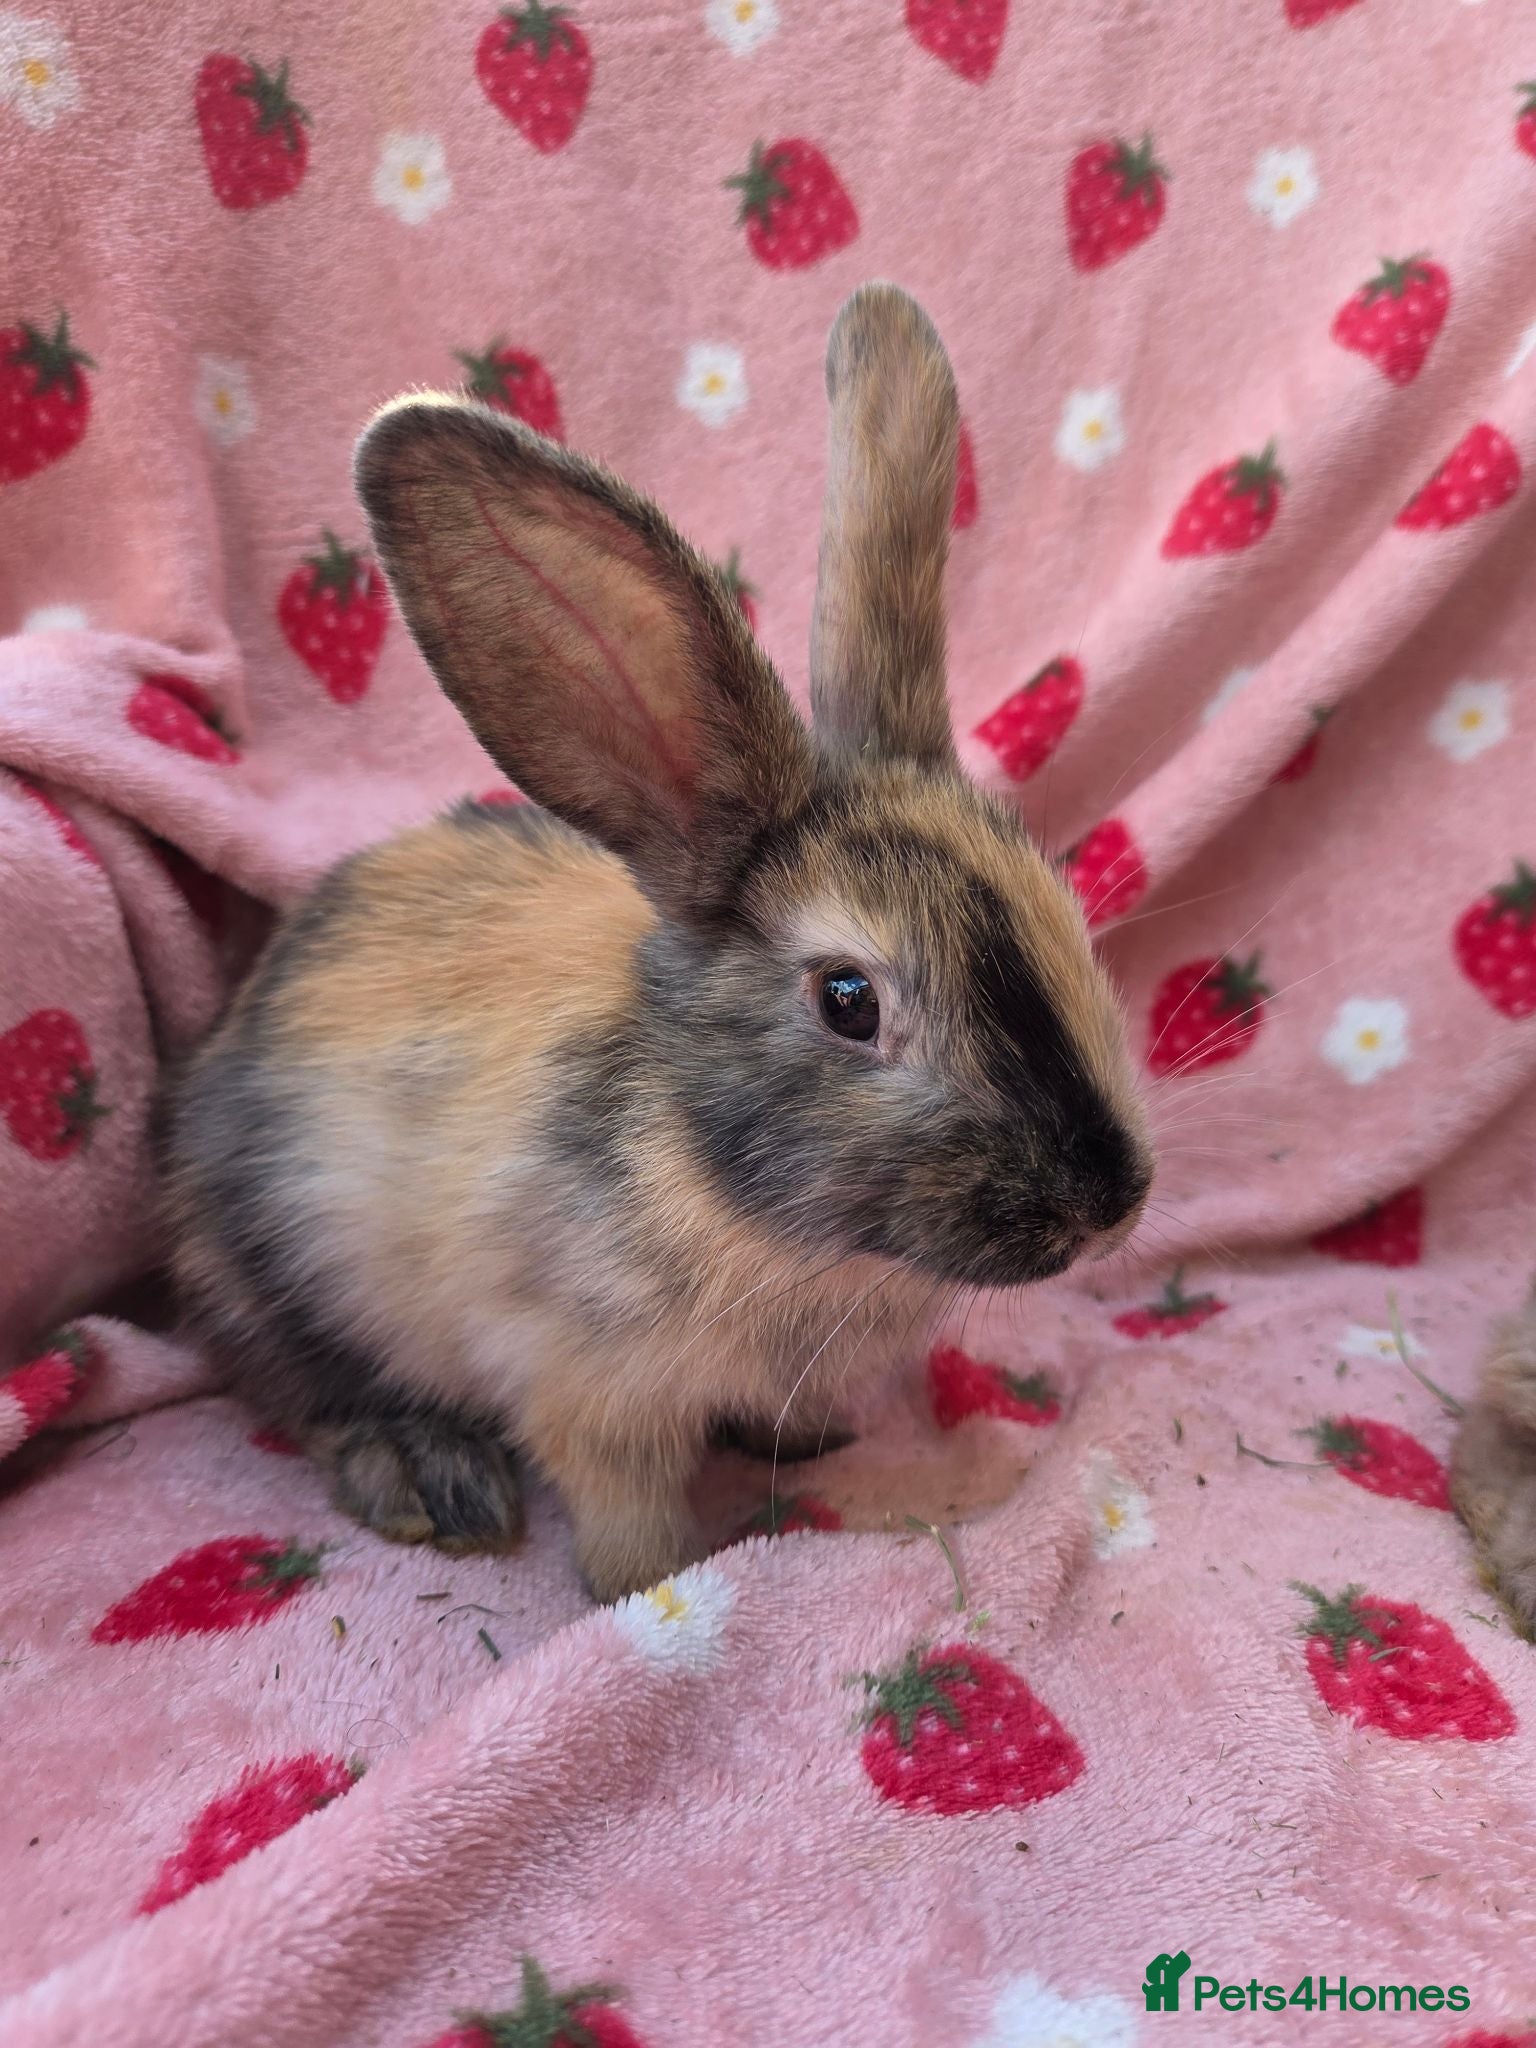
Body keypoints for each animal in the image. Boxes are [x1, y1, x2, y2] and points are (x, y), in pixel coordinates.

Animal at [158, 283, 1155, 1602]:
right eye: (848, 999)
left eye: (1062, 911)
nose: (1109, 1201)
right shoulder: (588, 1390)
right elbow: (623, 1510)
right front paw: (649, 1585)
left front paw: (815, 1438)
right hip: (276, 1268)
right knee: (305, 1390)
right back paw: (429, 1470)